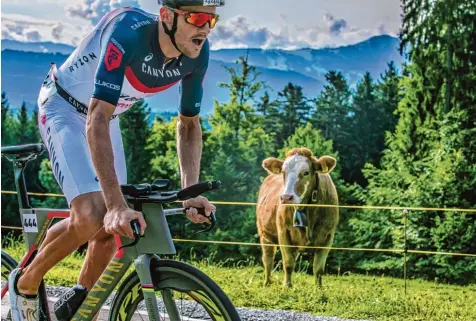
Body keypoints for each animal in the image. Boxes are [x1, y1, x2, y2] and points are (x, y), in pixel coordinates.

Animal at [256, 146, 338, 286]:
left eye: (306, 172)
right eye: (283, 172)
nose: (286, 197)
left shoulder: (328, 236)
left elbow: (318, 268)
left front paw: (319, 288)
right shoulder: (283, 232)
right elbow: (288, 263)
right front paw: (287, 286)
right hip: (265, 234)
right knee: (268, 260)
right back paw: (267, 283)